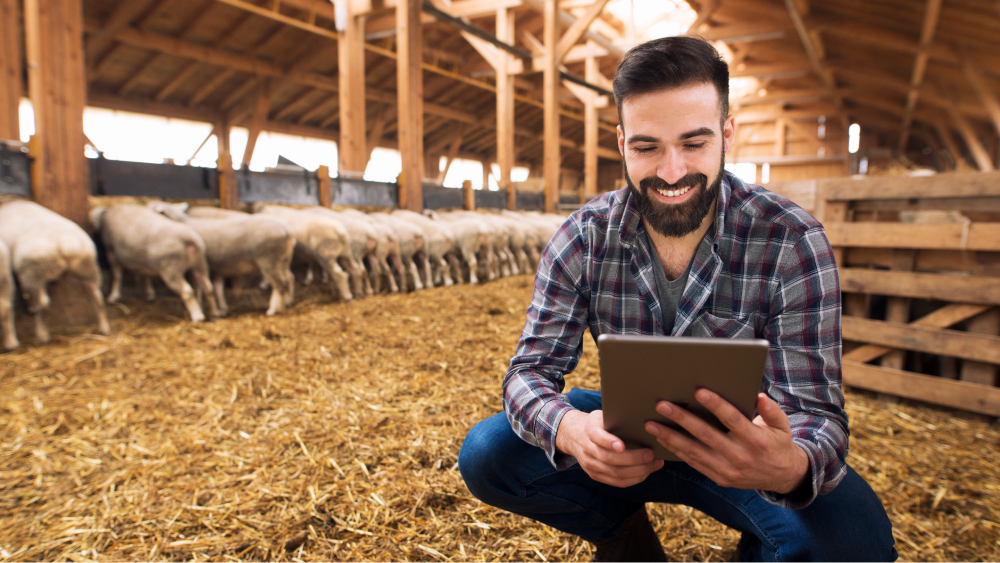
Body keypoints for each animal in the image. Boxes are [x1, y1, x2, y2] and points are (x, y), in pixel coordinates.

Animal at [0, 200, 110, 346]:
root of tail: (66, 242)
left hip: (34, 273)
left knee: (41, 304)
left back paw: (40, 335)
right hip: (87, 269)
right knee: (97, 298)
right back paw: (104, 328)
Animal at [90, 205, 219, 324]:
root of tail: (190, 240)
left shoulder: (112, 252)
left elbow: (117, 276)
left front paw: (113, 295)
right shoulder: (142, 261)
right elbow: (146, 275)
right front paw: (150, 294)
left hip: (171, 269)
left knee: (187, 291)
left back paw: (198, 316)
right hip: (200, 265)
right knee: (208, 288)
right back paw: (214, 314)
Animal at [148, 203, 294, 318]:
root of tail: (287, 230)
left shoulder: (201, 266)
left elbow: (201, 289)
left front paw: (205, 308)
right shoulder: (217, 268)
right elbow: (217, 289)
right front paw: (222, 309)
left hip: (269, 261)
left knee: (280, 284)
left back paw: (273, 309)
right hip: (283, 260)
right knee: (289, 278)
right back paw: (285, 303)